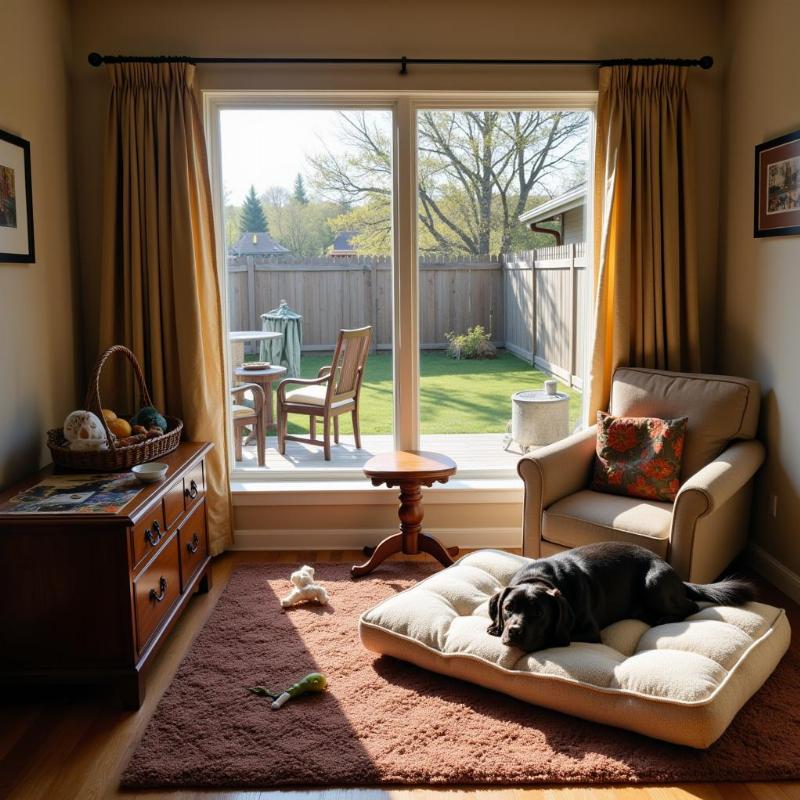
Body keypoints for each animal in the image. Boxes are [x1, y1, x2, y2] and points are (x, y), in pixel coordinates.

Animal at [484, 544, 752, 648]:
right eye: (508, 608)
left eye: (538, 612)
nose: (514, 631)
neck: (539, 577)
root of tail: (676, 576)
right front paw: (495, 627)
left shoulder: (590, 631)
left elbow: (556, 637)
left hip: (653, 583)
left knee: (691, 607)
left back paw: (663, 619)